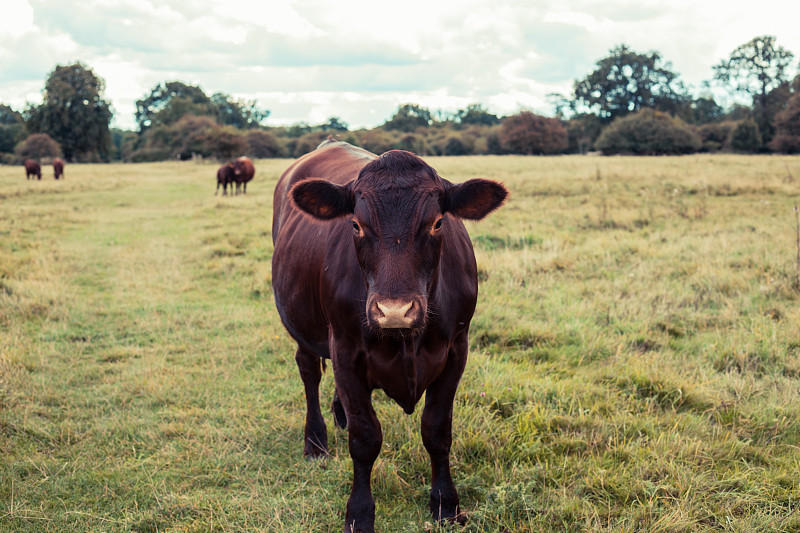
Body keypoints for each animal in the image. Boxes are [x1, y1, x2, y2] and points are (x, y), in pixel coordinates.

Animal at [268, 139, 506, 528]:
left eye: (438, 223)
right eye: (355, 224)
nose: (394, 311)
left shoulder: (457, 350)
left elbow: (437, 431)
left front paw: (446, 503)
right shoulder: (345, 349)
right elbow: (365, 438)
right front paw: (360, 513)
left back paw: (339, 414)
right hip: (301, 322)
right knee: (308, 370)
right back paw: (316, 441)